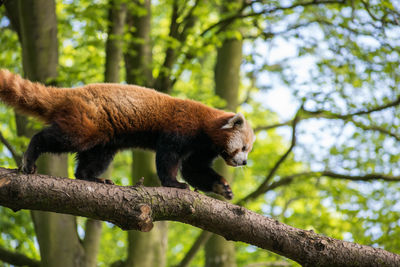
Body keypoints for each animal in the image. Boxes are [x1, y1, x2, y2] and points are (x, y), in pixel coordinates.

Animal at [0, 69, 255, 199]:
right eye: (243, 148)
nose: (244, 162)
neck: (205, 129)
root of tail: (70, 93)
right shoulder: (180, 128)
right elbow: (168, 158)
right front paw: (174, 184)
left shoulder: (201, 150)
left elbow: (195, 170)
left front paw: (222, 187)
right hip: (86, 122)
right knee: (59, 138)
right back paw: (31, 156)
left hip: (104, 139)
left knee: (95, 159)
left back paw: (92, 178)